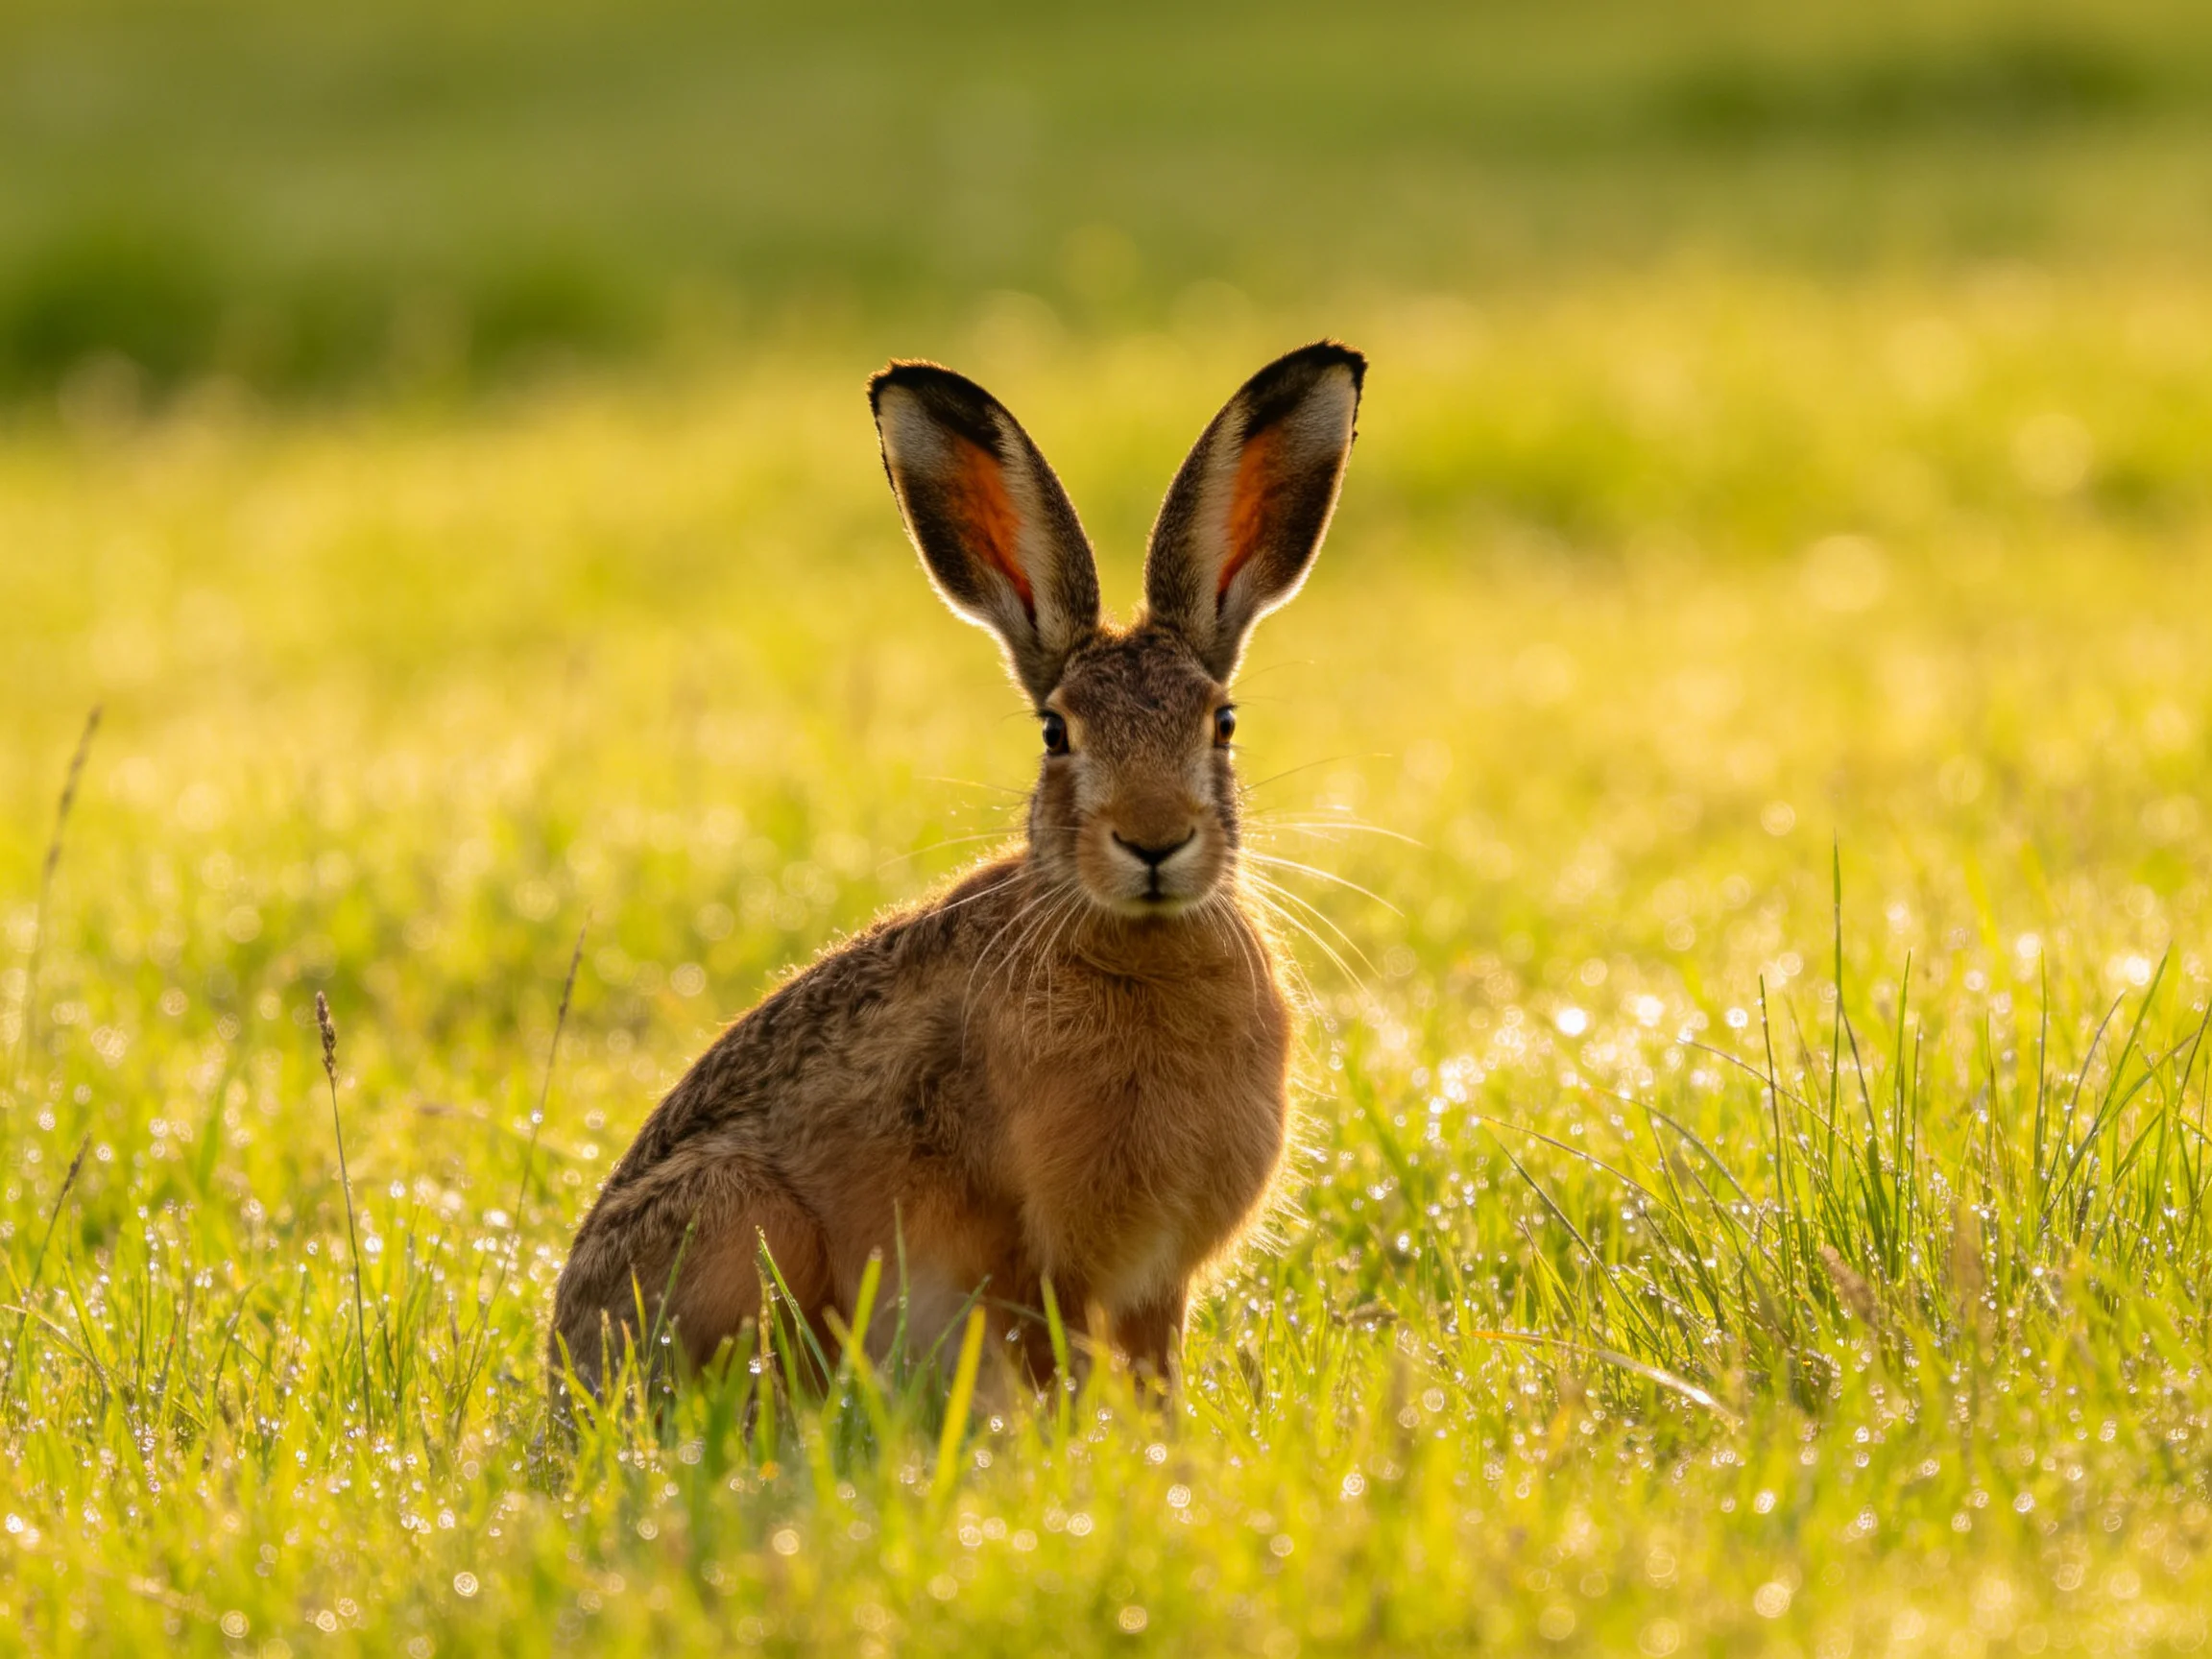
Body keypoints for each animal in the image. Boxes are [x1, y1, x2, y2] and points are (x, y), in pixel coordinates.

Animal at [550, 340, 1365, 1407]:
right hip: (735, 1218)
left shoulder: (1155, 1284)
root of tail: (557, 1371)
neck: (1138, 946)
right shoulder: (1032, 1252)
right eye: (1056, 734)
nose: (1153, 840)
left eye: (1221, 724)